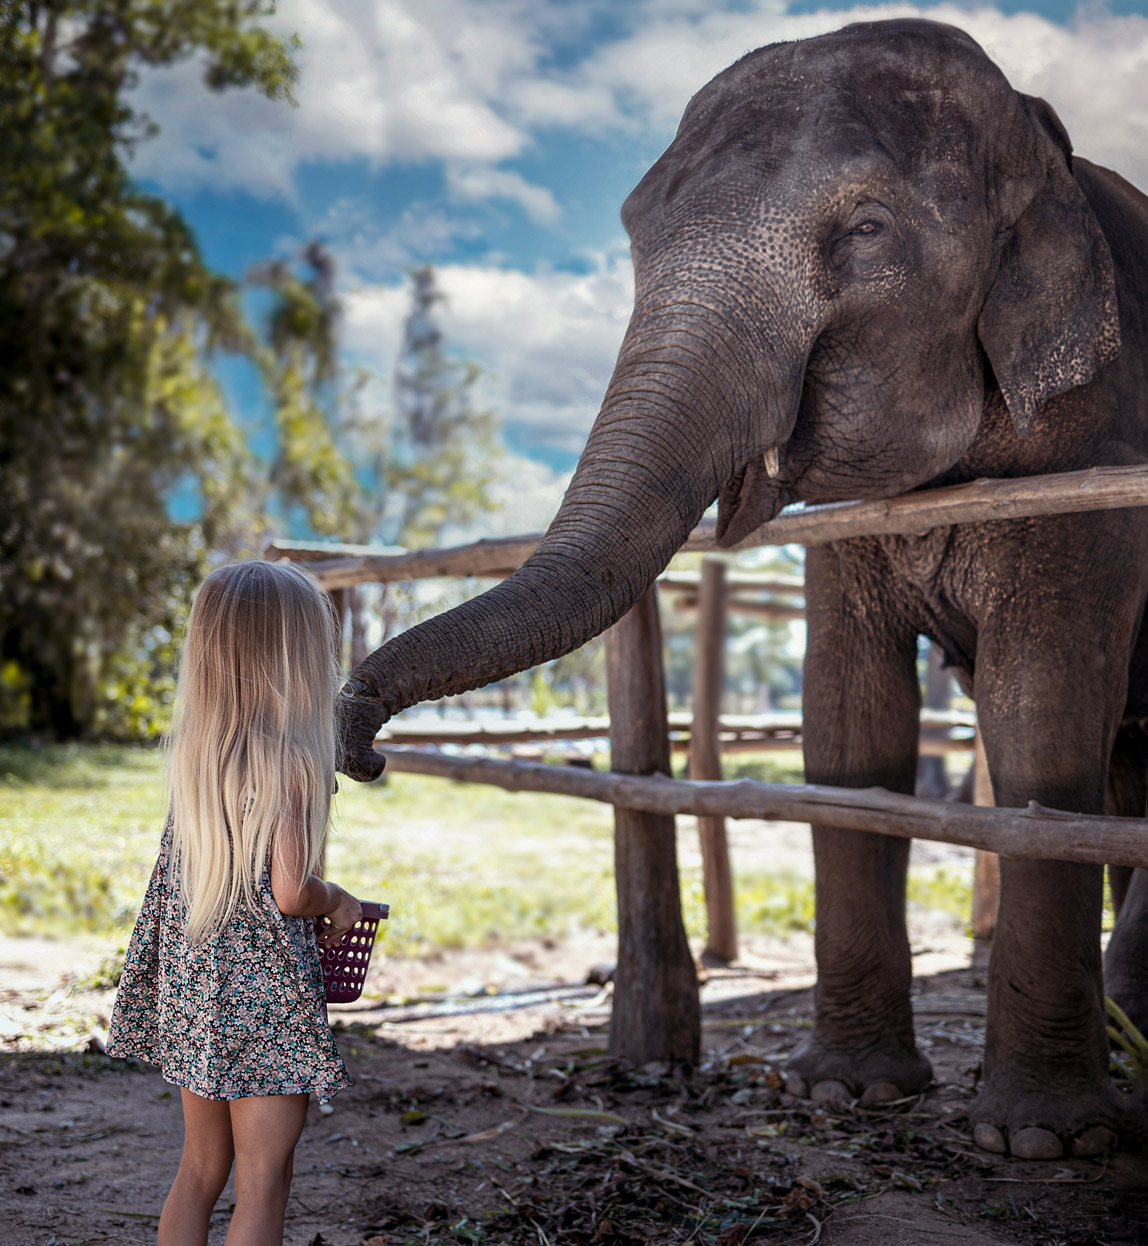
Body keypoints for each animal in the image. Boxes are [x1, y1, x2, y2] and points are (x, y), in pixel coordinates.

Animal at [339, 19, 1148, 1160]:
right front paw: (843, 1094)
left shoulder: (1095, 460)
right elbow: (849, 723)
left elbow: (1038, 715)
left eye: (866, 229)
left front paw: (1041, 1143)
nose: (359, 740)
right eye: (634, 231)